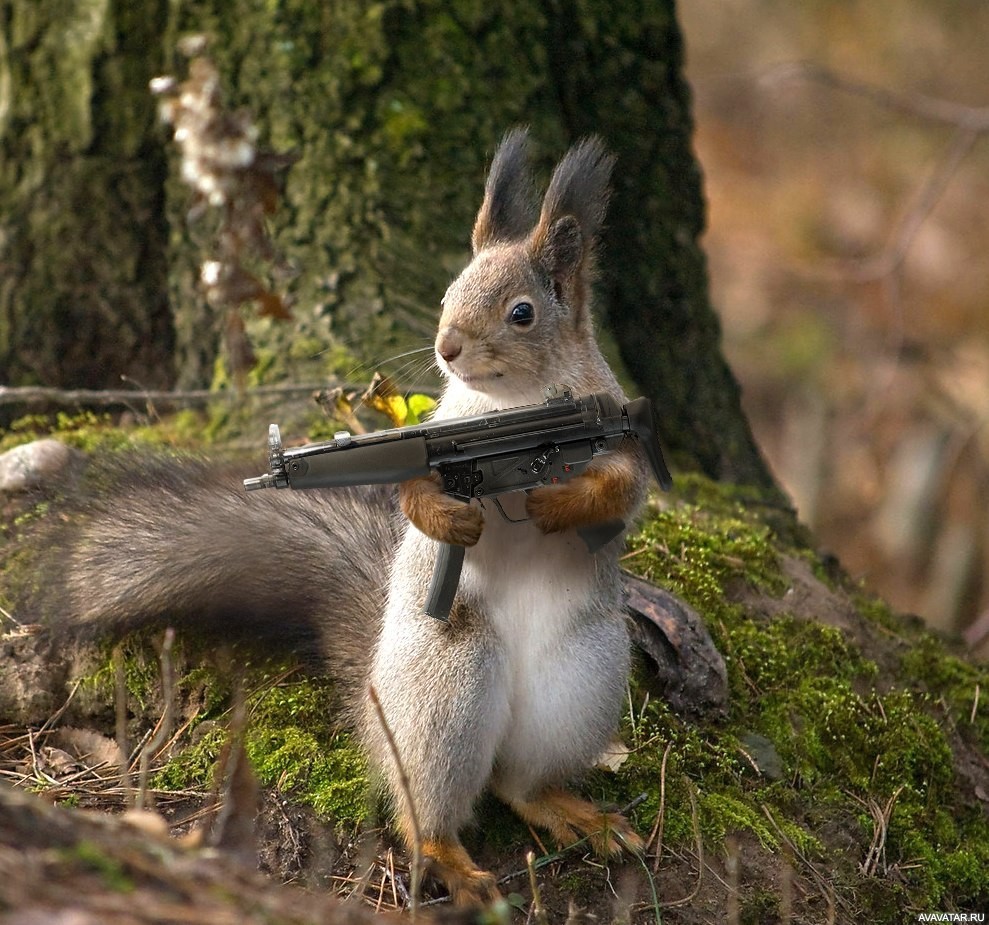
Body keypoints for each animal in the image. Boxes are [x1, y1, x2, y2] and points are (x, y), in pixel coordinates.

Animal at [36, 130, 648, 904]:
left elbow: (623, 493)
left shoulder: (617, 434)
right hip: (447, 682)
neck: (515, 406)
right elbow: (416, 494)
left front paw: (552, 502)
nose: (446, 347)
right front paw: (457, 517)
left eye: (522, 312)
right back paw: (453, 862)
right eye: (448, 291)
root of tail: (374, 701)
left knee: (518, 784)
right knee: (425, 808)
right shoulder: (442, 439)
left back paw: (575, 814)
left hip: (581, 680)